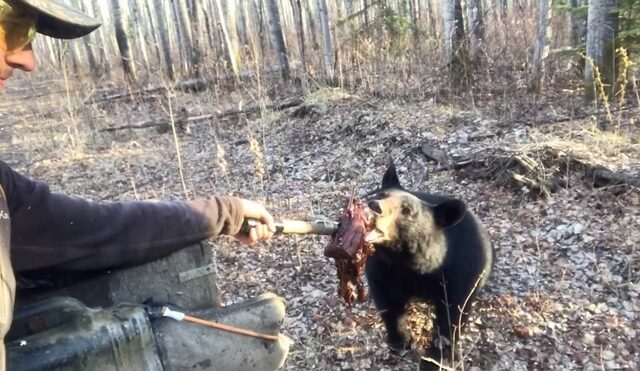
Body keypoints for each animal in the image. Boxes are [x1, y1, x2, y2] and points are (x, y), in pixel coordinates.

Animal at [362, 164, 492, 370]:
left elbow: (452, 315)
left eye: (407, 210)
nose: (374, 206)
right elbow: (388, 302)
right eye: (380, 195)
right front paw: (399, 342)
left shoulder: (461, 271)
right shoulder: (382, 267)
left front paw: (434, 358)